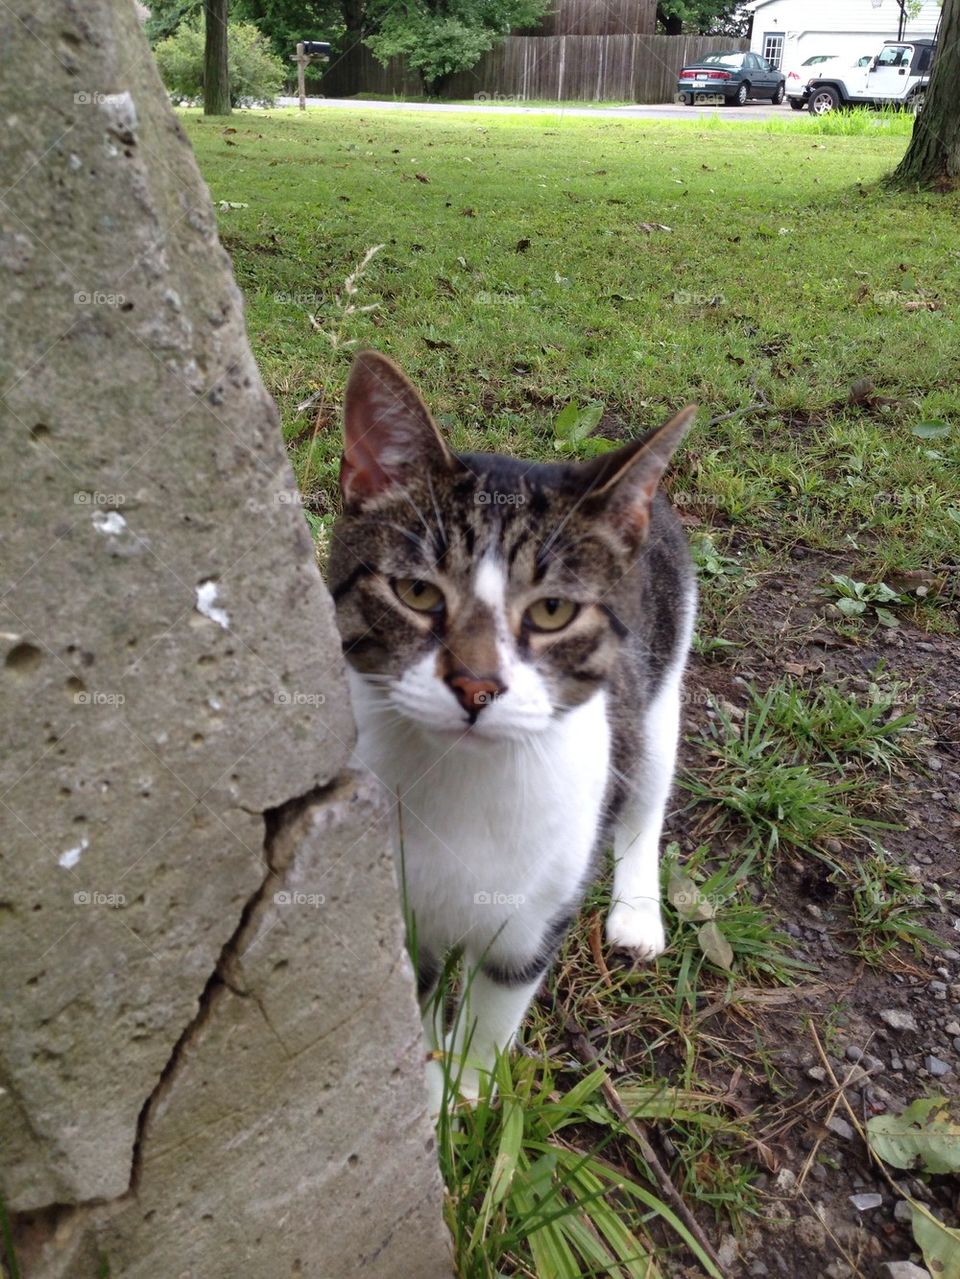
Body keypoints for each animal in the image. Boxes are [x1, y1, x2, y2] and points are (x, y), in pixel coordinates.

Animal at [329, 355, 700, 1115]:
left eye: (553, 610)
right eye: (417, 593)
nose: (476, 686)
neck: (463, 780)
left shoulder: (534, 914)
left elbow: (496, 1003)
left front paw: (466, 1089)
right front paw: (423, 1090)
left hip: (660, 689)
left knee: (647, 795)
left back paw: (637, 914)